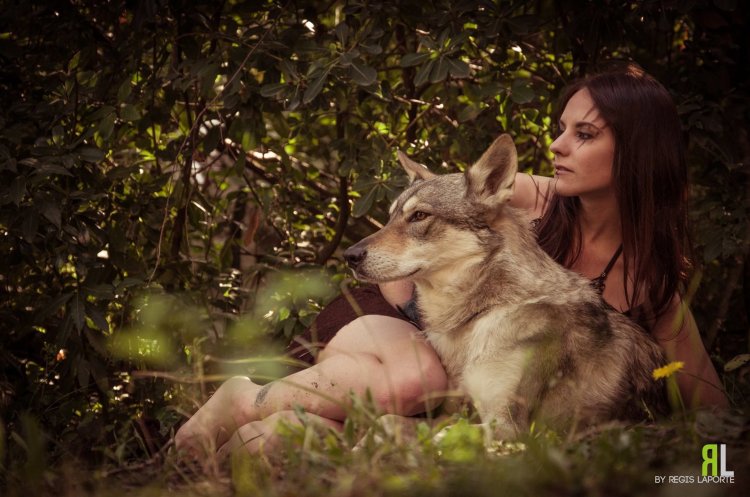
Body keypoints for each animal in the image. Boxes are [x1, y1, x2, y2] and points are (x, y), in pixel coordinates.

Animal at [343, 134, 668, 437]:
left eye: (420, 215)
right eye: (389, 219)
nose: (350, 256)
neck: (481, 314)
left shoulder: (508, 426)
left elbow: (441, 437)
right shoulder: (452, 410)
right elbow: (388, 420)